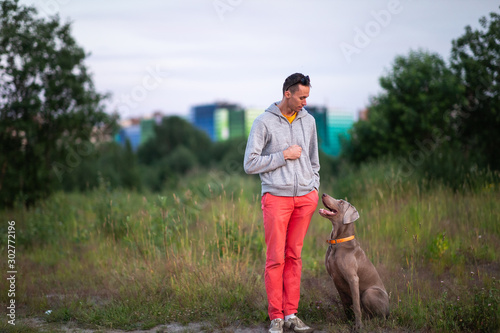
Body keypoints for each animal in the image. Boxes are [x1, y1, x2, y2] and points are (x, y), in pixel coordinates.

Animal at [318, 193, 388, 330]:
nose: (323, 194)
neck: (337, 242)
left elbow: (356, 305)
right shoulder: (336, 280)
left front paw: (358, 326)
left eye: (341, 202)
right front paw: (348, 321)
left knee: (380, 317)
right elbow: (346, 304)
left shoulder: (353, 279)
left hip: (369, 293)